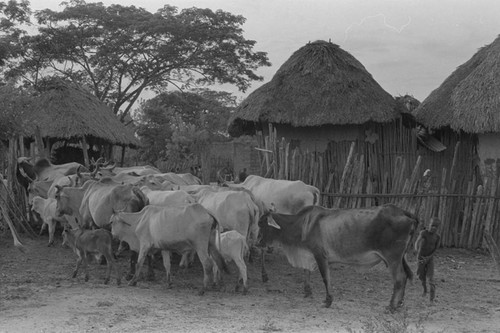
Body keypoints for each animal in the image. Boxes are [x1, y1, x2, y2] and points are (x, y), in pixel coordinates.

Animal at [258, 202, 418, 312]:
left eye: (262, 224)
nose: (258, 243)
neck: (302, 224)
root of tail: (403, 212)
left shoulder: (320, 255)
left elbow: (325, 278)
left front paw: (328, 300)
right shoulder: (309, 256)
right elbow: (307, 272)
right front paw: (308, 291)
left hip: (393, 258)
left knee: (399, 279)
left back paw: (391, 306)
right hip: (401, 258)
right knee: (405, 276)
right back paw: (399, 304)